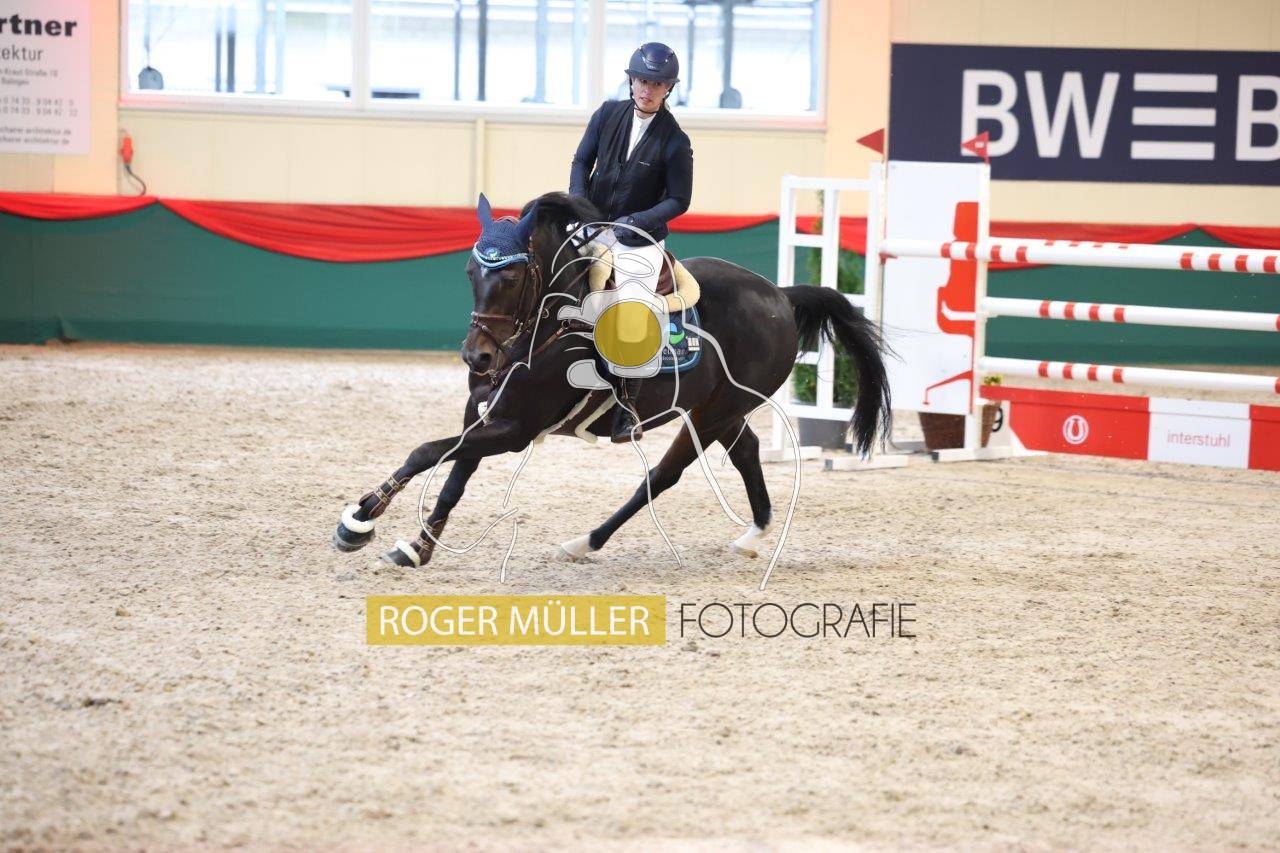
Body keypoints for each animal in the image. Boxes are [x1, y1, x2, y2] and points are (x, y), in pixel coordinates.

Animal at [332, 190, 891, 571]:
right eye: (471, 272)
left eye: (511, 277)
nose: (477, 356)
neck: (545, 327)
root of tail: (779, 295)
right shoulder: (485, 412)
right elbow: (452, 475)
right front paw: (415, 545)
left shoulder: (514, 431)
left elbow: (428, 451)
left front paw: (359, 520)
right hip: (721, 410)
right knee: (747, 453)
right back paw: (753, 535)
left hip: (712, 415)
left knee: (662, 477)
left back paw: (586, 542)